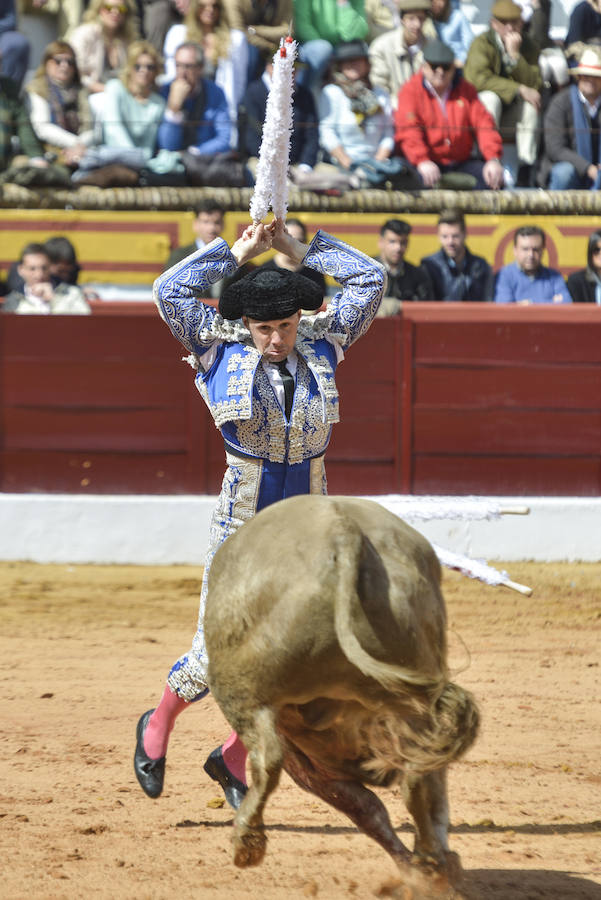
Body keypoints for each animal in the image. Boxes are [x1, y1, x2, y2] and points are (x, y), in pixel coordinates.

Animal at [204, 496, 480, 896]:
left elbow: (365, 809)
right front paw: (434, 867)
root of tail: (341, 533)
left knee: (268, 759)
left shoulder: (308, 760)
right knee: (418, 776)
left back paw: (247, 842)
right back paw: (430, 863)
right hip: (413, 684)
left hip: (241, 691)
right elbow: (398, 799)